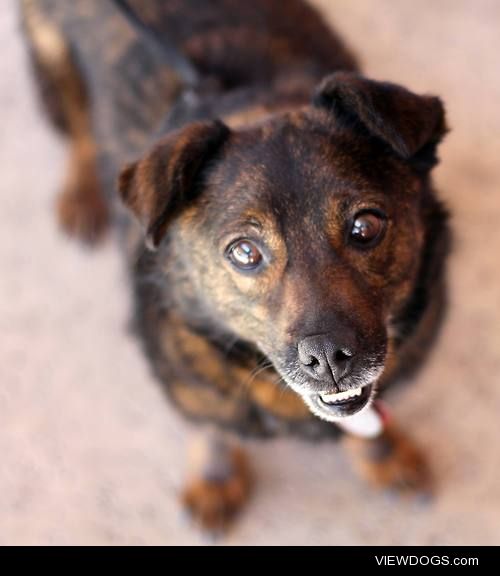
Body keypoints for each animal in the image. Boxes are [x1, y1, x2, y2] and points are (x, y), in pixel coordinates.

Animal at [22, 0, 450, 532]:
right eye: (245, 252)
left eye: (365, 226)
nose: (328, 358)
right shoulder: (189, 380)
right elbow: (213, 430)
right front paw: (215, 479)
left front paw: (384, 455)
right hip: (49, 44)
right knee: (77, 120)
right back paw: (81, 190)